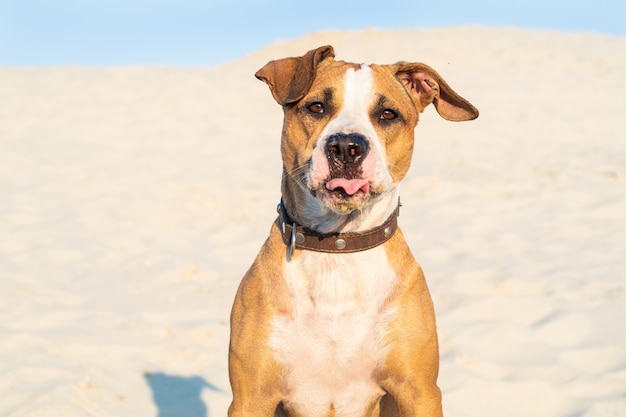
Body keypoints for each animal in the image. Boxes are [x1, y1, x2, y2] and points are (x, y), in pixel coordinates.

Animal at [227, 44, 476, 416]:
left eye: (387, 114)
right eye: (317, 107)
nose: (346, 146)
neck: (337, 246)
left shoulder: (419, 392)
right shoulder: (250, 397)